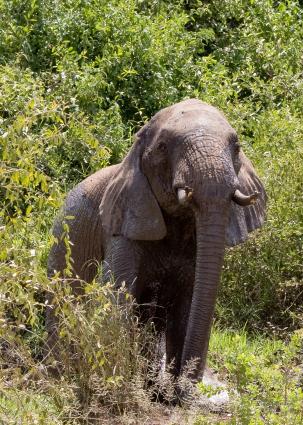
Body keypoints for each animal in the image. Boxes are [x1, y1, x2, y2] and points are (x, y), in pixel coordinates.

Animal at [46, 99, 268, 388]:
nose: (188, 384)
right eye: (163, 147)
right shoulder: (126, 222)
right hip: (66, 232)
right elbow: (116, 297)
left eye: (237, 146)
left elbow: (187, 306)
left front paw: (170, 392)